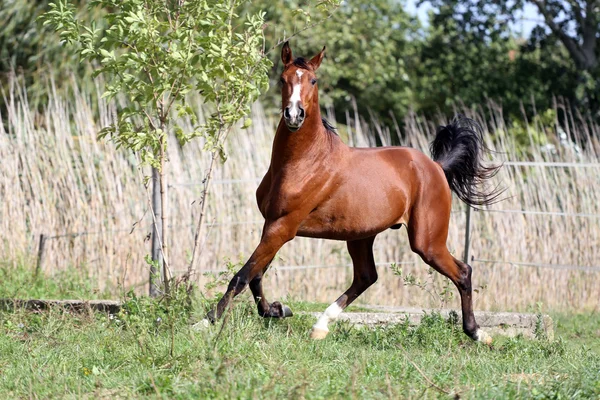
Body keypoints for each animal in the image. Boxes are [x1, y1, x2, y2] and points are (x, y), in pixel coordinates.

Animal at [209, 43, 500, 344]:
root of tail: (436, 167)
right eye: (282, 79)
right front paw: (277, 310)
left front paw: (207, 322)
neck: (302, 162)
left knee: (462, 271)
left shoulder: (283, 227)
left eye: (313, 81)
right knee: (366, 276)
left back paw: (478, 333)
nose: (294, 115)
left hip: (427, 242)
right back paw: (320, 327)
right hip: (361, 236)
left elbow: (243, 276)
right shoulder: (272, 225)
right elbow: (255, 275)